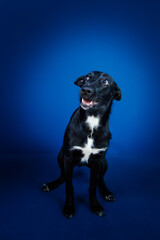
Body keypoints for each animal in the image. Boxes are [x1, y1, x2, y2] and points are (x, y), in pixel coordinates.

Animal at [41, 71, 121, 218]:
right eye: (87, 78)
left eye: (105, 81)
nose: (85, 90)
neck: (92, 119)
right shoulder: (67, 158)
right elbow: (69, 186)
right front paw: (69, 207)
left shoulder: (97, 161)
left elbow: (93, 186)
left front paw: (95, 205)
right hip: (60, 156)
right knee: (63, 177)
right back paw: (51, 184)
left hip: (104, 162)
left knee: (101, 179)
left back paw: (106, 192)